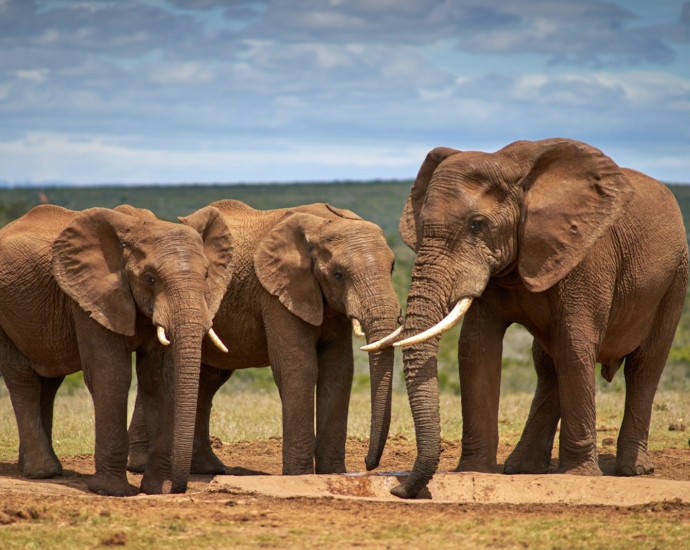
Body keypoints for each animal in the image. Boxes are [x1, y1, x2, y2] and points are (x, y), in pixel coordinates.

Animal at [0, 205, 234, 498]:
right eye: (150, 279)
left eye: (206, 276)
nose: (176, 488)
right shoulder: (92, 298)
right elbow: (111, 375)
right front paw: (111, 491)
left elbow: (159, 379)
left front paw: (156, 488)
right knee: (23, 380)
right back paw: (43, 472)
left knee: (50, 381)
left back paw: (38, 468)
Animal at [126, 201, 400, 480]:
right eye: (338, 275)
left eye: (392, 267)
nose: (368, 464)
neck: (323, 224)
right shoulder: (276, 294)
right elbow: (299, 369)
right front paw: (300, 477)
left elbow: (339, 372)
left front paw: (332, 475)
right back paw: (142, 466)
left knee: (208, 378)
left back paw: (205, 468)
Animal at [370, 138, 688, 500]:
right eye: (422, 225)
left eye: (477, 225)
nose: (398, 489)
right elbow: (476, 347)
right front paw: (475, 470)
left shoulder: (585, 257)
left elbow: (575, 345)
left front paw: (578, 476)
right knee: (548, 363)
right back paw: (521, 467)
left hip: (675, 278)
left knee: (643, 366)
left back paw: (633, 470)